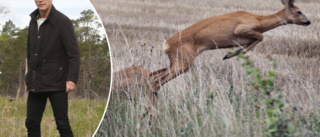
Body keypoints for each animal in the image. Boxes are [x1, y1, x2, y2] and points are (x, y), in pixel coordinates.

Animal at [139, 0, 310, 122]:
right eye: (299, 11)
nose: (308, 22)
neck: (259, 21)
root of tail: (166, 44)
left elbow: (257, 39)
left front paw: (233, 53)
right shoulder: (241, 29)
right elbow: (260, 37)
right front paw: (230, 54)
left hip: (175, 61)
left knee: (152, 76)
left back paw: (146, 114)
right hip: (184, 61)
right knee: (156, 80)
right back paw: (151, 115)